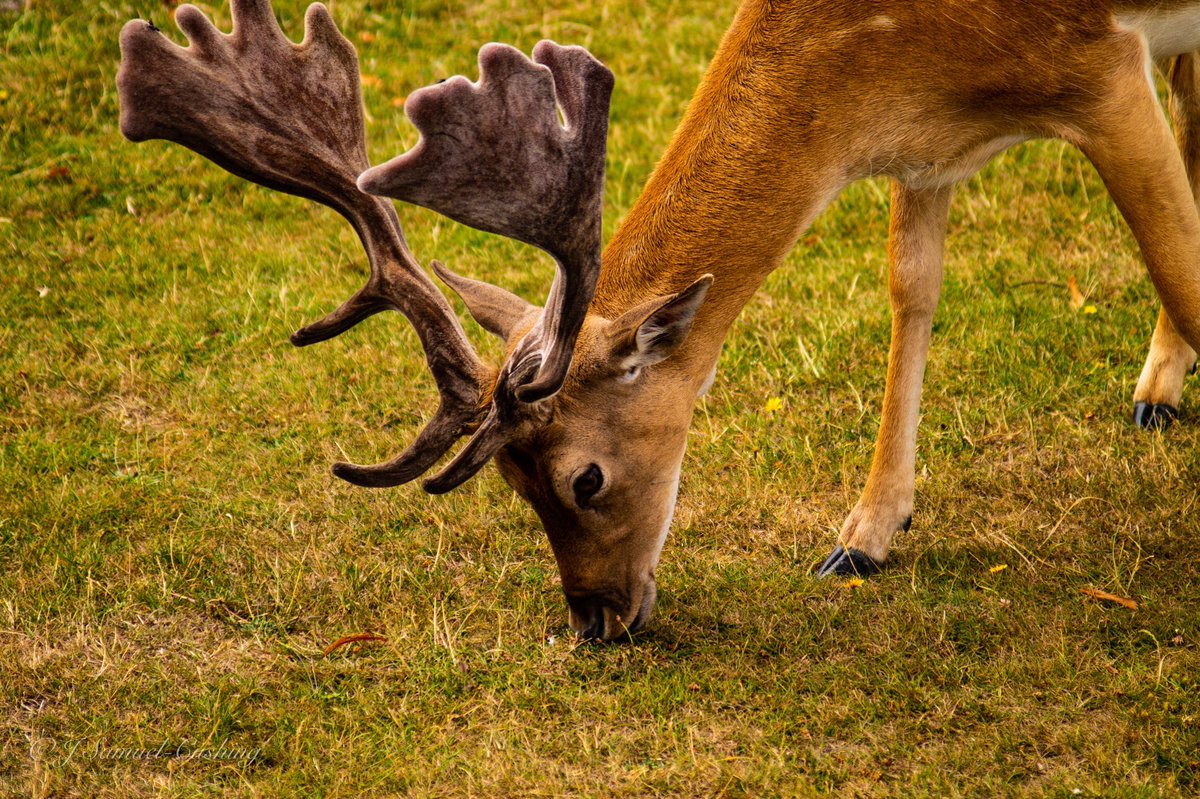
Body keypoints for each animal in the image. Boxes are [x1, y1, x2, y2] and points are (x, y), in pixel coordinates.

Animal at [117, 0, 1200, 641]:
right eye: (511, 485)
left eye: (584, 478)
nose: (595, 618)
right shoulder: (930, 146)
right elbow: (912, 286)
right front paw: (865, 532)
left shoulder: (1097, 63)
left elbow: (1178, 257)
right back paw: (1159, 384)